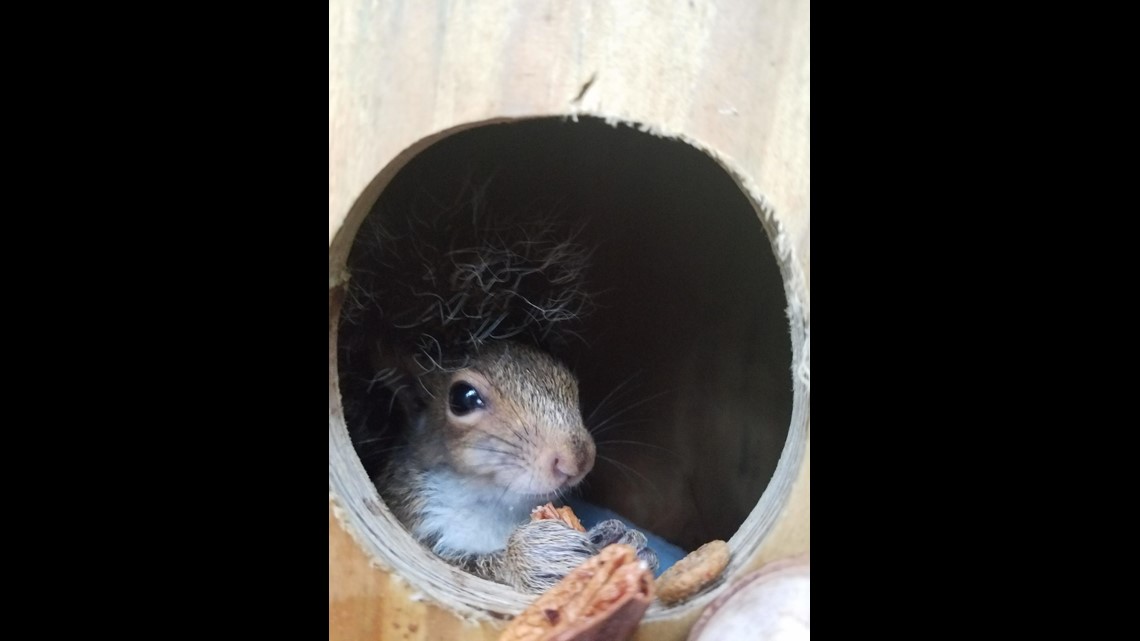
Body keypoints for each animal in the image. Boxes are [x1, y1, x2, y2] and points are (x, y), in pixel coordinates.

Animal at [339, 184, 659, 593]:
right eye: (462, 398)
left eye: (567, 378)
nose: (577, 459)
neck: (494, 502)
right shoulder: (416, 522)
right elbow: (470, 566)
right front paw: (534, 557)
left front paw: (622, 539)